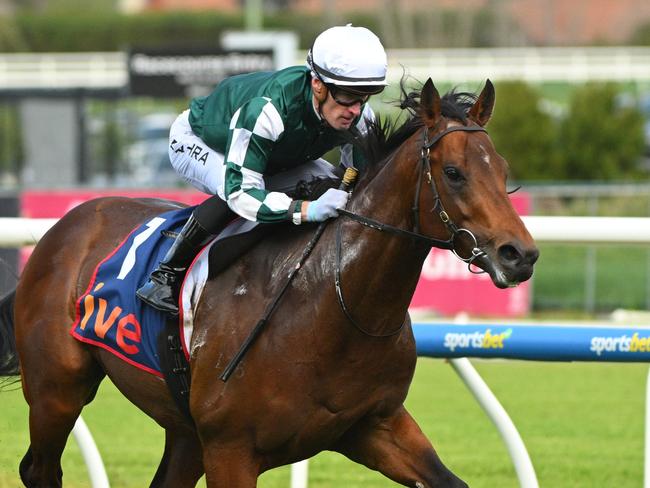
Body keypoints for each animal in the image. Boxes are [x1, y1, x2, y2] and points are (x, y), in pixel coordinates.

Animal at [1, 78, 536, 486]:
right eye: (454, 172)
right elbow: (240, 186)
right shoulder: (231, 450)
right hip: (57, 389)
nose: (521, 255)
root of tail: (68, 224)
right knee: (39, 468)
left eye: (503, 169)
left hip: (184, 430)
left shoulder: (373, 425)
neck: (333, 304)